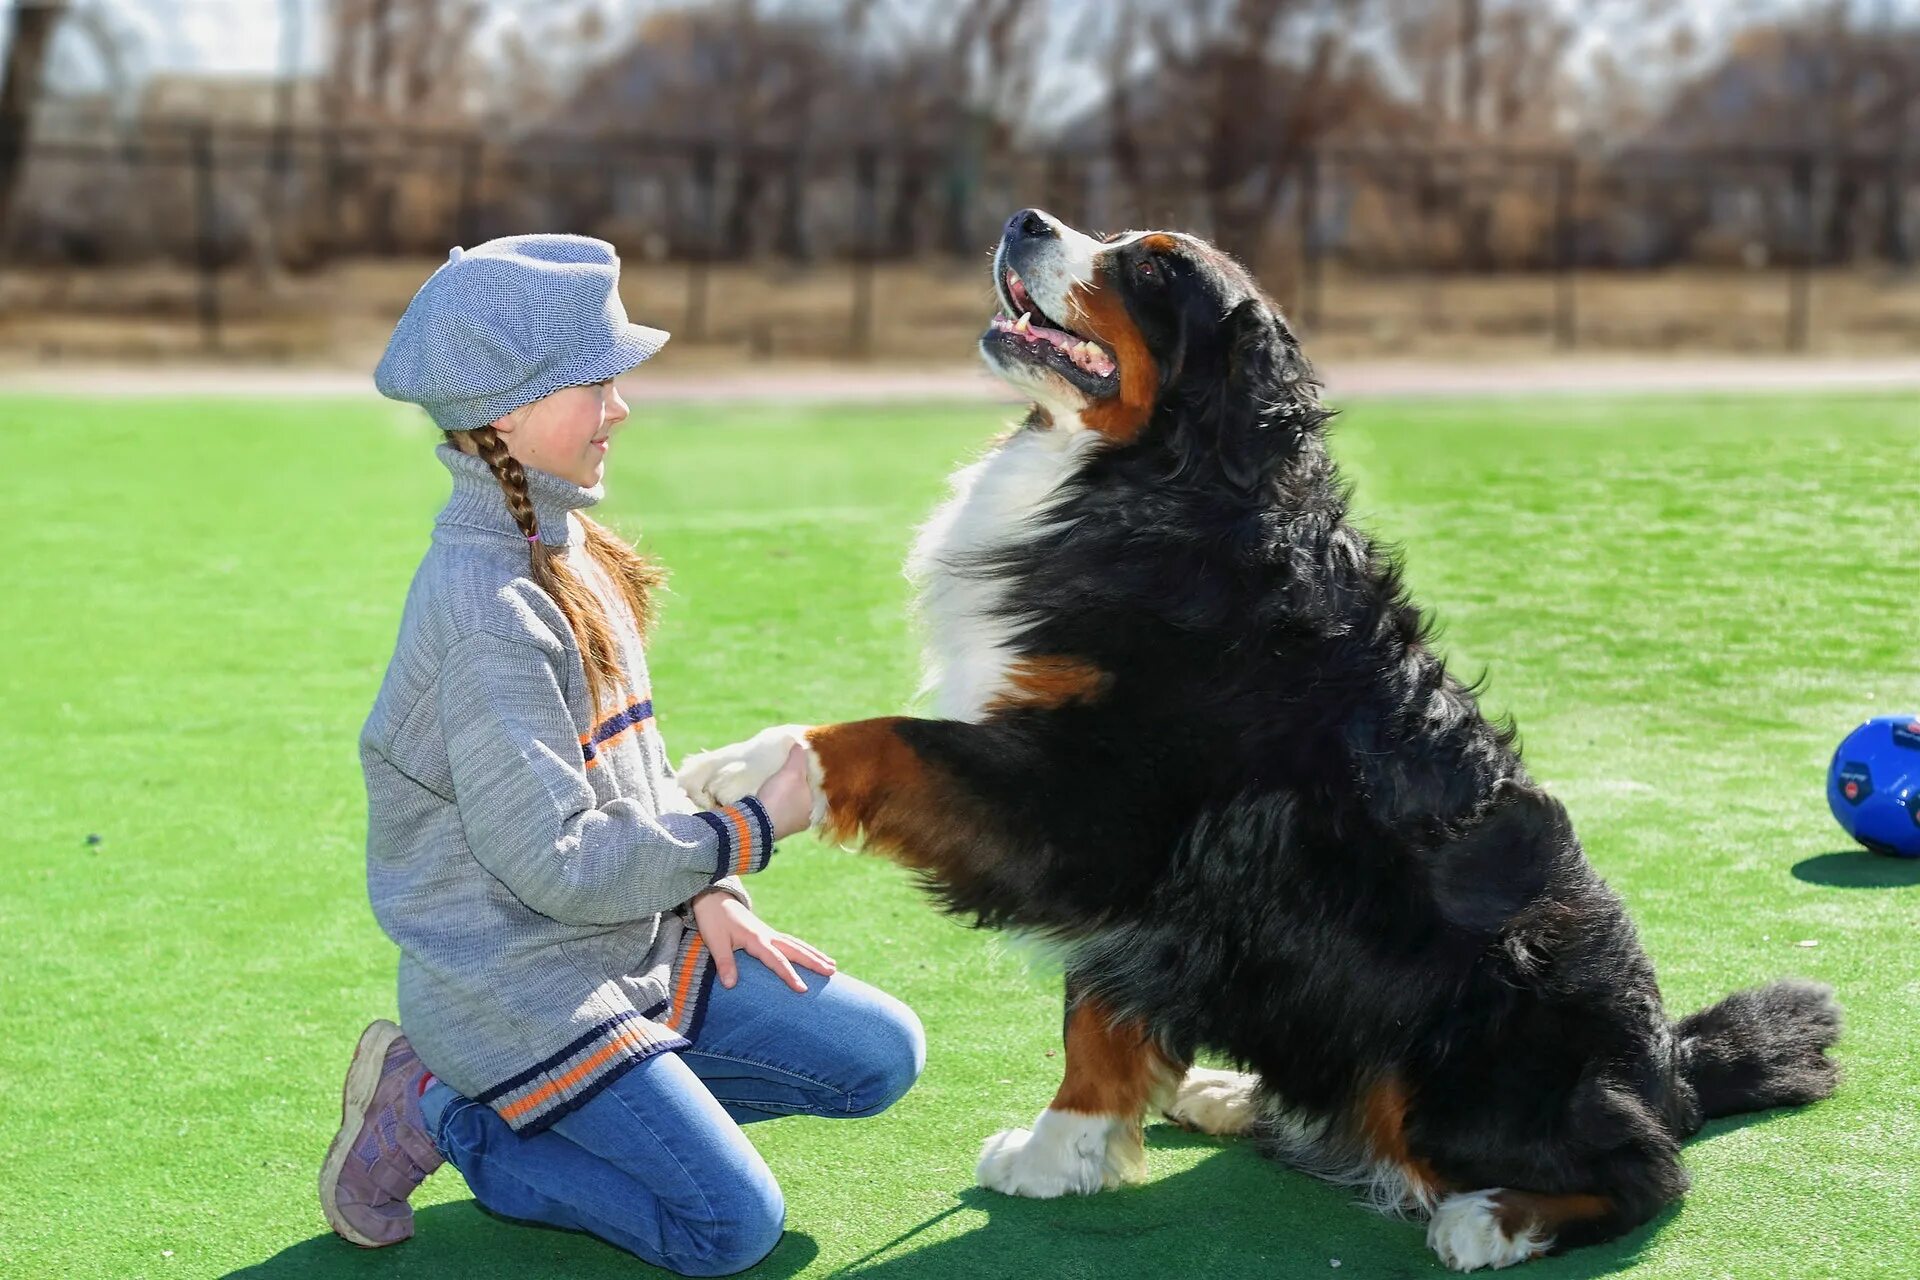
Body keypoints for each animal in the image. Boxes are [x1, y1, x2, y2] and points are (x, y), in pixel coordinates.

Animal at [679, 210, 1843, 1274]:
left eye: (1152, 269)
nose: (1025, 218)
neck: (1159, 483)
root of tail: (1672, 1065)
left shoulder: (1095, 809)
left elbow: (892, 739)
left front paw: (756, 763)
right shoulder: (1150, 888)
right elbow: (1098, 1017)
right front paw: (1064, 1150)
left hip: (1466, 1060)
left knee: (1641, 1169)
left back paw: (1494, 1218)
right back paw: (1234, 1095)